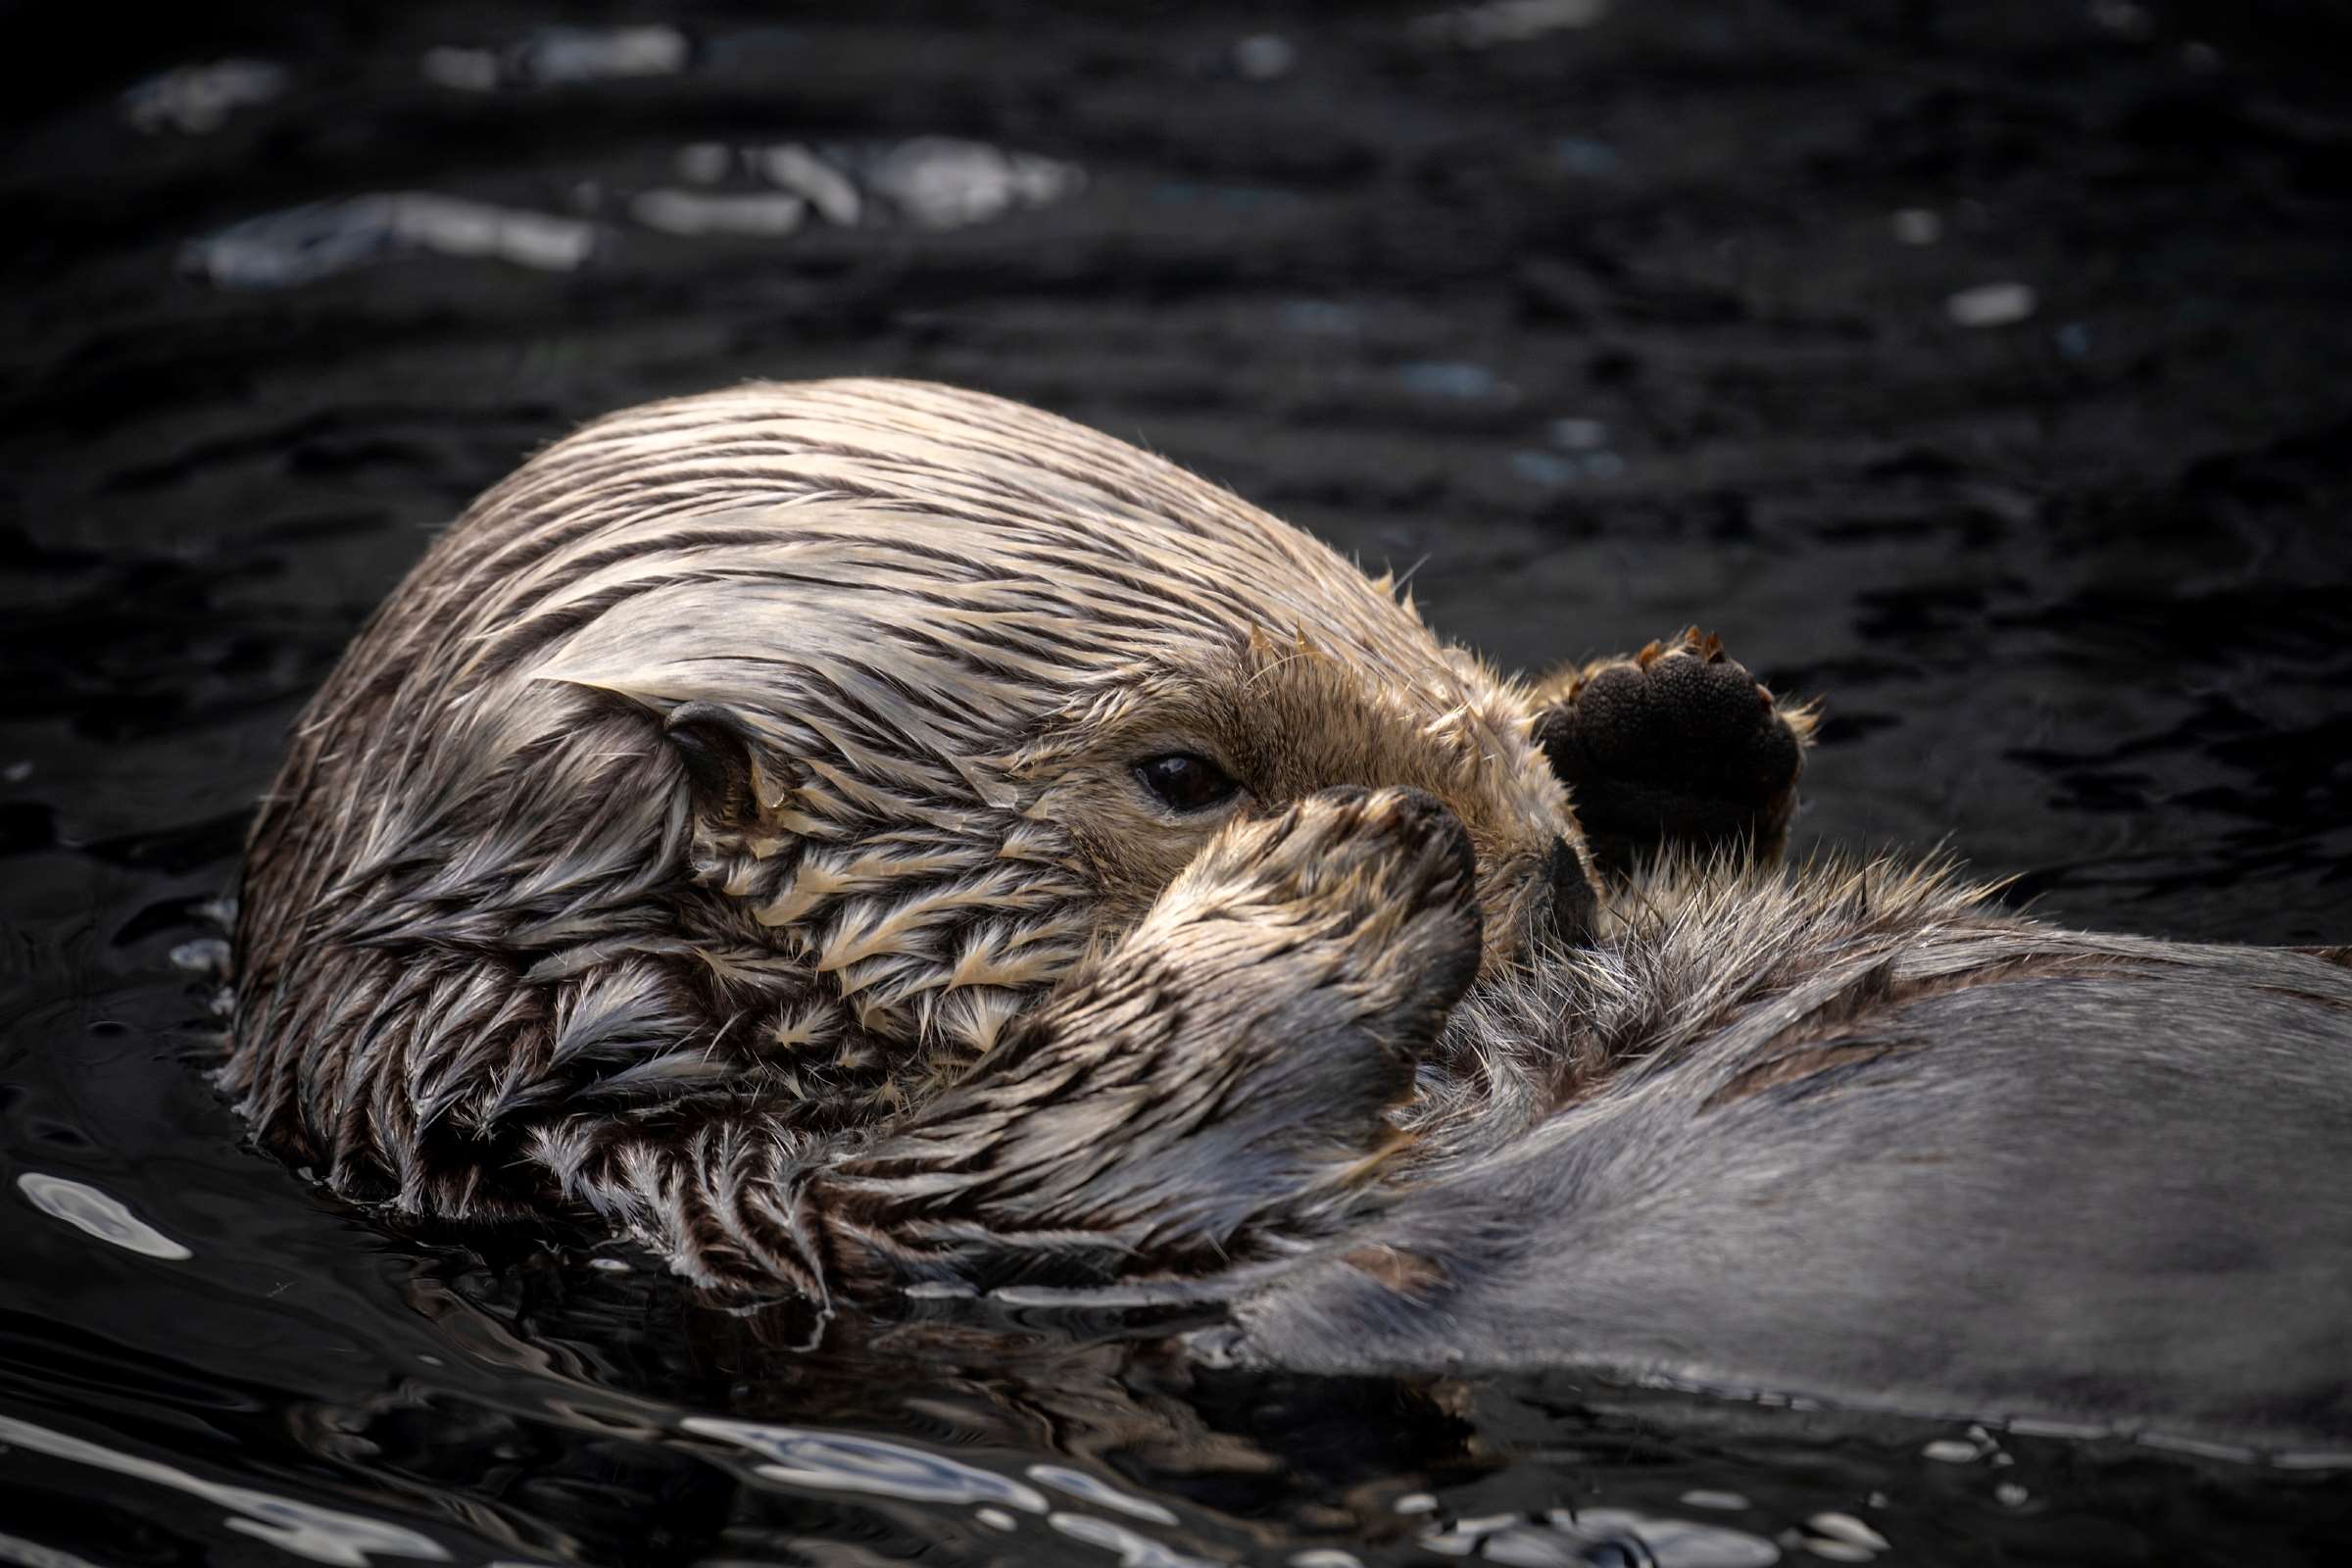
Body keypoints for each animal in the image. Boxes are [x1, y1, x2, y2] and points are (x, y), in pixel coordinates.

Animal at [228, 379, 2352, 1451]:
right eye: (1184, 773)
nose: (1524, 838)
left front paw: (1671, 712)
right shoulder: (777, 1213)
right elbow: (1069, 1156)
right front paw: (1335, 876)